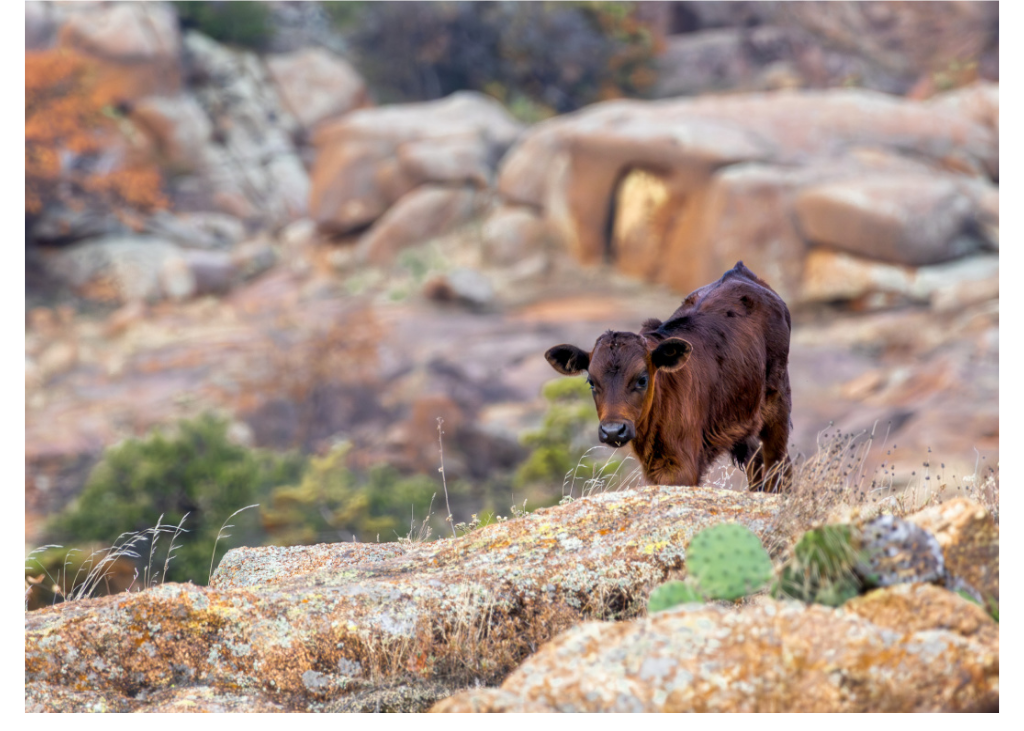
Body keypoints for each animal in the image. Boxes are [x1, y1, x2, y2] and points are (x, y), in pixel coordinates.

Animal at [545, 262, 792, 491]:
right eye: (591, 383)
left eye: (642, 379)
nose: (613, 430)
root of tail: (739, 272)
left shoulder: (684, 467)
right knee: (757, 464)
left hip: (777, 407)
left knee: (778, 465)